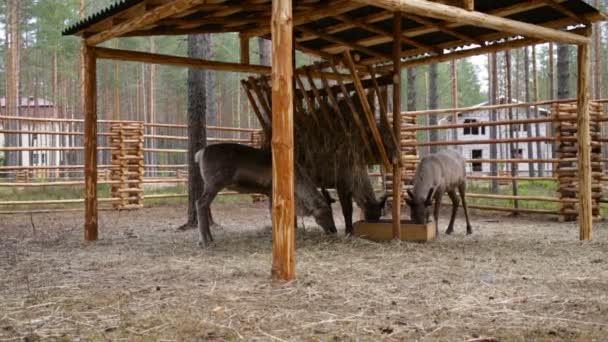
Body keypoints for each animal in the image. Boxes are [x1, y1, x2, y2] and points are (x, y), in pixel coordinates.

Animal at [195, 143, 338, 247]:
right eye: (326, 211)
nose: (334, 230)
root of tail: (200, 153)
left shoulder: (269, 193)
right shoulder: (272, 191)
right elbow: (272, 212)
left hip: (210, 182)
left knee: (204, 204)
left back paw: (210, 238)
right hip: (215, 182)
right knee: (200, 202)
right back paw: (204, 241)